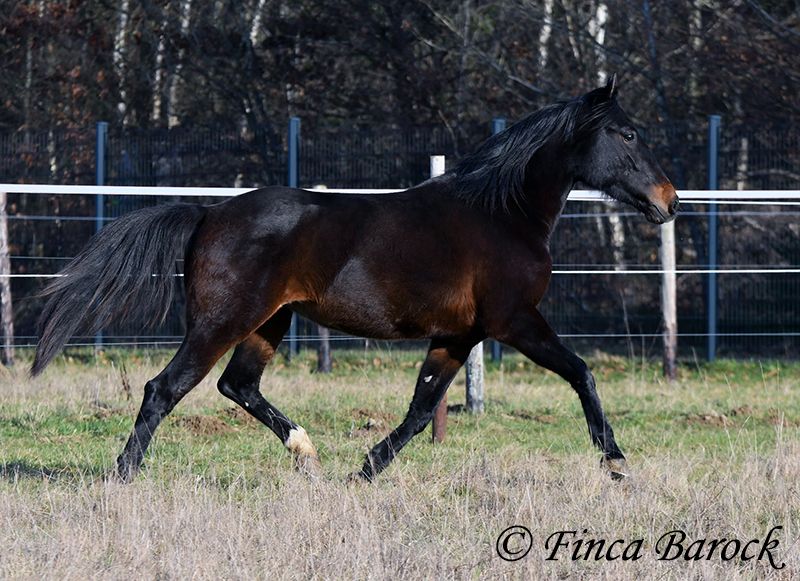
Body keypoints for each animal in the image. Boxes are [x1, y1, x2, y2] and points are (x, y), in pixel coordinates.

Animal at [31, 75, 678, 482]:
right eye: (626, 134)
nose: (668, 202)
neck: (501, 213)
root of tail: (210, 213)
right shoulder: (514, 321)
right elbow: (582, 373)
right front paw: (615, 462)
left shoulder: (458, 335)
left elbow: (421, 410)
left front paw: (364, 470)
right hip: (223, 321)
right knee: (163, 389)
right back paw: (123, 477)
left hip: (270, 321)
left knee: (237, 386)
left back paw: (307, 454)